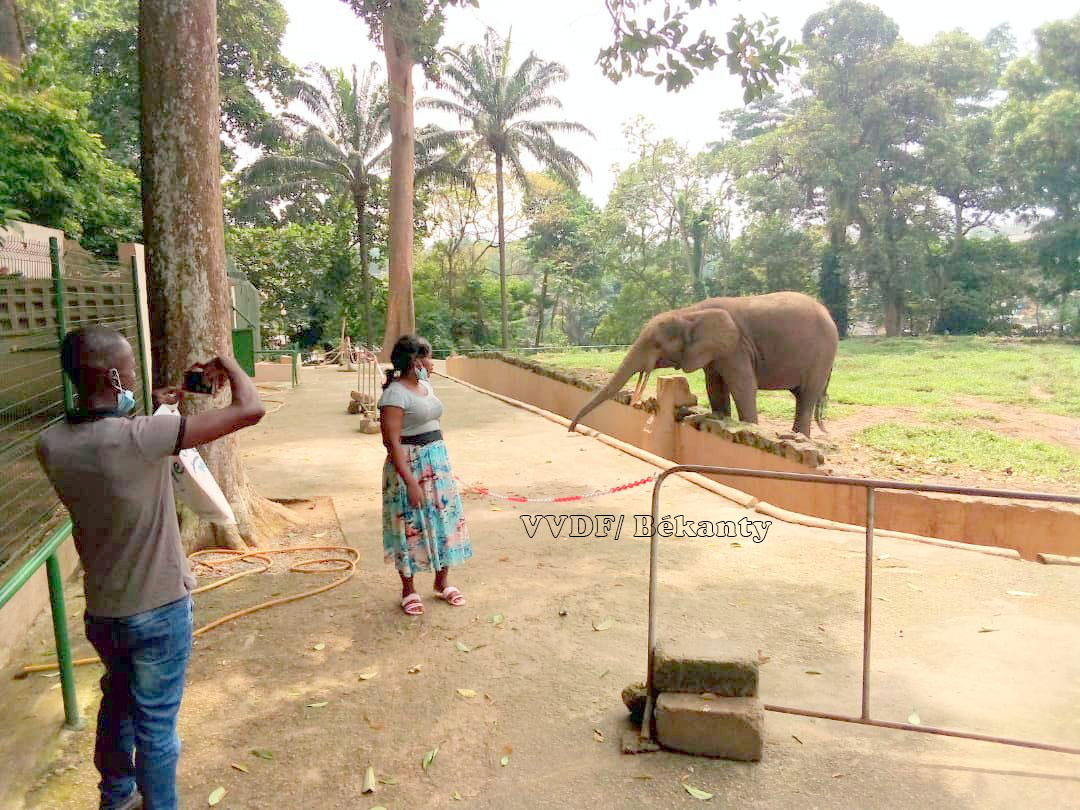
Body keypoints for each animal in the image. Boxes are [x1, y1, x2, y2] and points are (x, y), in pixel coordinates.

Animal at [570, 293, 838, 438]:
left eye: (656, 344)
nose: (571, 429)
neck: (690, 312)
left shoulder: (736, 347)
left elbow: (743, 387)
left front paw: (749, 428)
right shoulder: (713, 352)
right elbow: (715, 385)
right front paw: (719, 418)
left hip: (822, 355)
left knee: (807, 396)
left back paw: (798, 436)